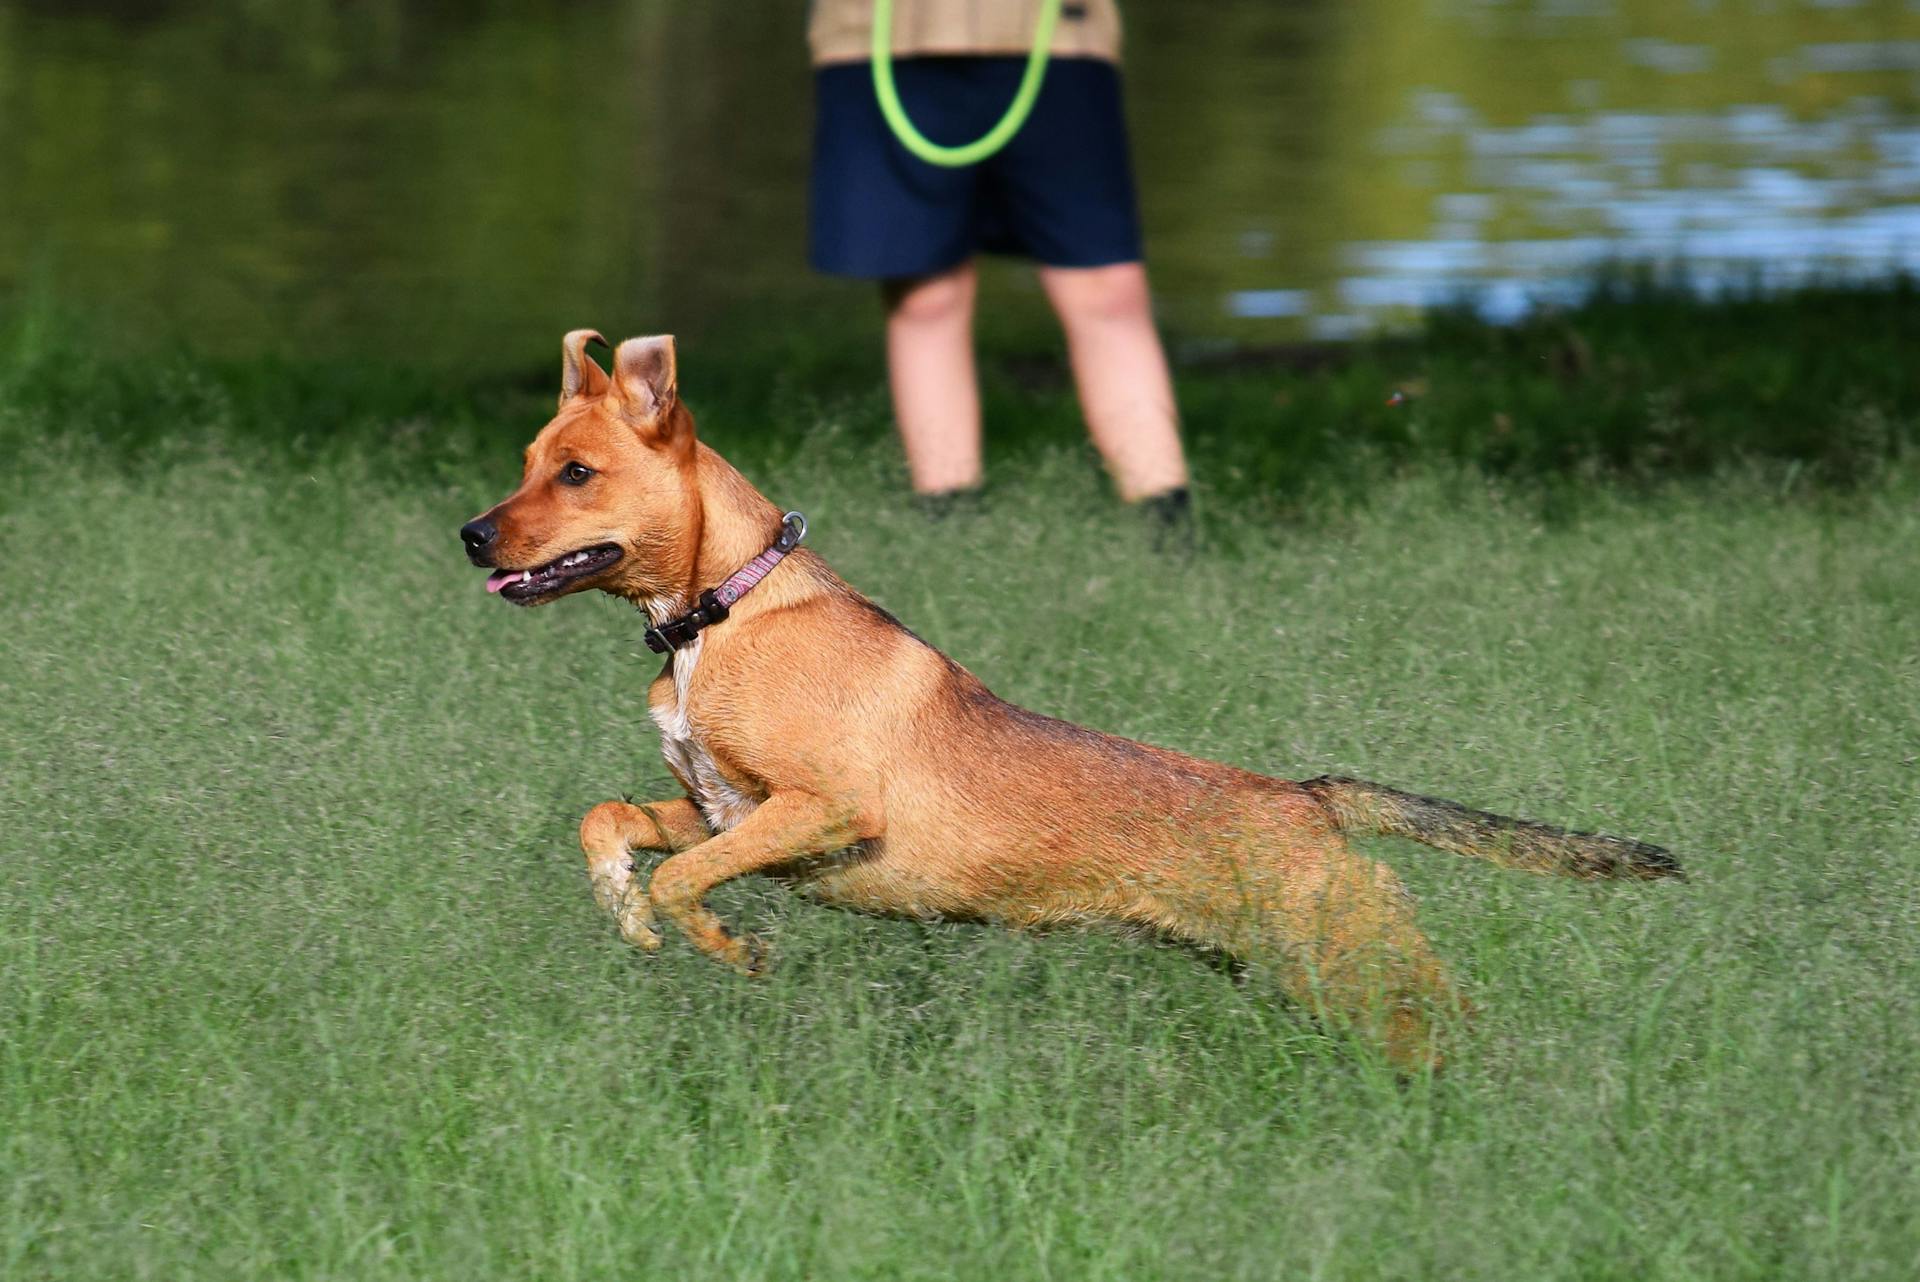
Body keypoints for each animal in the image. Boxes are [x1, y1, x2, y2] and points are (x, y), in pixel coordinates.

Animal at [456, 328, 1674, 1059]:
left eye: (577, 474)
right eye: (525, 462)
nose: (470, 534)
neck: (724, 611)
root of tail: (1311, 799)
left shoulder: (820, 810)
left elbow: (687, 883)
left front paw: (726, 949)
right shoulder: (715, 809)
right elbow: (613, 826)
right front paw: (627, 911)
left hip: (1362, 968)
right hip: (1309, 971)